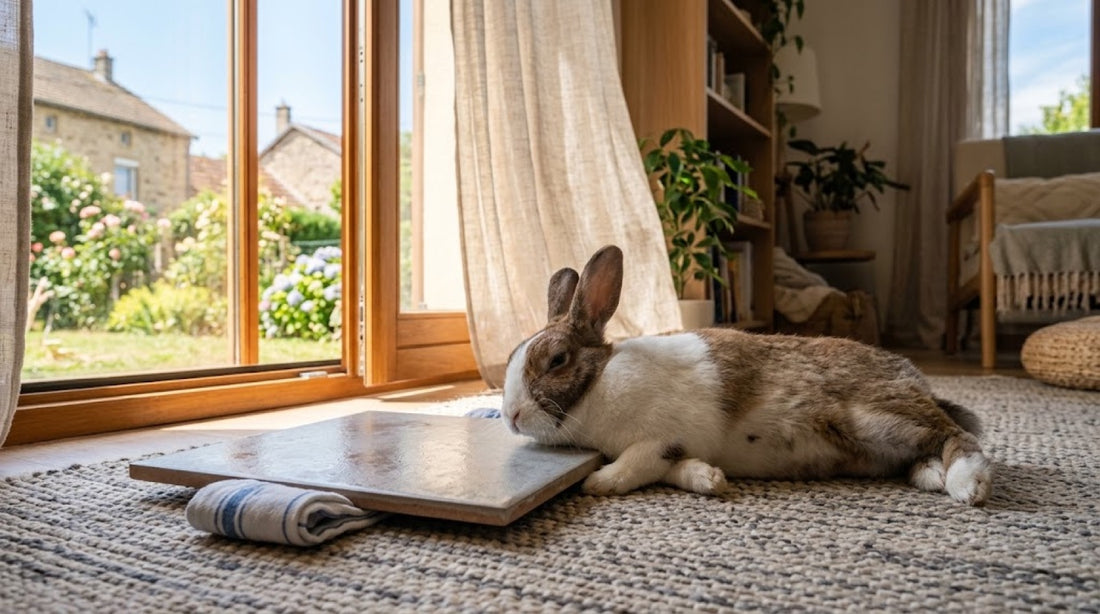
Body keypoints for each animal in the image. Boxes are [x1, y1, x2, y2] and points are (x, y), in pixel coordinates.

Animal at [501, 245, 992, 506]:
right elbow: (676, 470)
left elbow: (637, 463)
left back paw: (967, 485)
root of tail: (918, 382)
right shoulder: (676, 450)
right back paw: (933, 476)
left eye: (557, 360)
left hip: (877, 416)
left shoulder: (662, 435)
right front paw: (710, 479)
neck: (597, 385)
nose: (510, 417)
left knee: (958, 435)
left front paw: (599, 482)